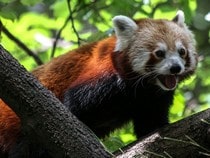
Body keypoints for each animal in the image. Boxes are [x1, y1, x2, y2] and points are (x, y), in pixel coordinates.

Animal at [0, 10, 197, 157]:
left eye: (182, 51)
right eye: (159, 53)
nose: (175, 68)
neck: (142, 88)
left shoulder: (153, 99)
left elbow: (149, 123)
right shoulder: (102, 78)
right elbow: (73, 108)